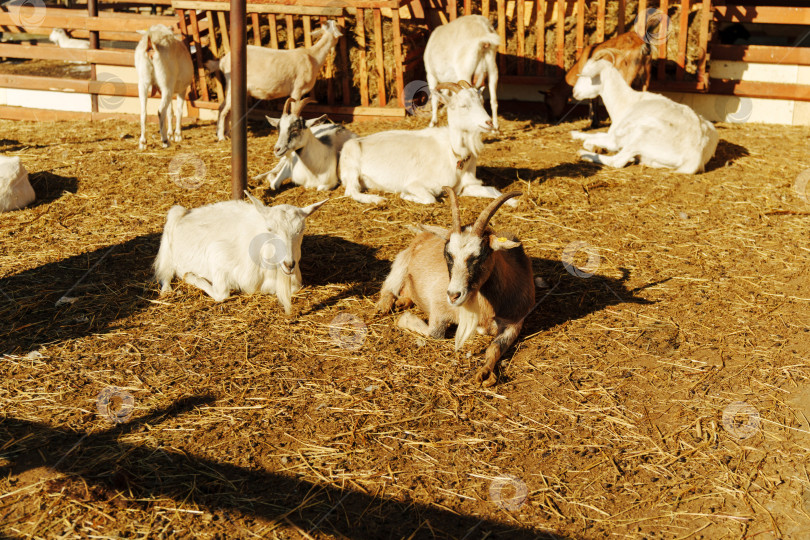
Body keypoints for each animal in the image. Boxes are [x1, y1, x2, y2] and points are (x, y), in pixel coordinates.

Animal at [153, 192, 327, 314]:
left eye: (301, 230)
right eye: (270, 229)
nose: (289, 264)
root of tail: (186, 212)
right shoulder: (217, 253)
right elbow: (222, 295)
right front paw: (190, 276)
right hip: (168, 243)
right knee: (165, 273)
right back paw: (169, 289)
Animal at [209, 20, 342, 142]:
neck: (313, 56)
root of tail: (223, 61)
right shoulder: (297, 89)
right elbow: (294, 110)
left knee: (225, 108)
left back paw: (227, 134)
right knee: (223, 109)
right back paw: (221, 137)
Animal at [339, 81, 513, 206]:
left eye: (482, 102)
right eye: (463, 105)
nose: (489, 122)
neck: (453, 154)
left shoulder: (465, 186)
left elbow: (493, 190)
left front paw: (512, 201)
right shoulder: (417, 184)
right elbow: (430, 199)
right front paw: (406, 195)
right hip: (352, 163)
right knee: (351, 191)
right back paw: (377, 199)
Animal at [376, 188, 535, 386]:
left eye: (479, 256)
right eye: (448, 254)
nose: (453, 295)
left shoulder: (515, 323)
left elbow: (494, 348)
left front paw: (485, 374)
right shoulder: (438, 308)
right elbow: (434, 333)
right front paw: (404, 319)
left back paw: (402, 302)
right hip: (401, 262)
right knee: (389, 286)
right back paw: (385, 305)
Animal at [570, 56, 718, 174]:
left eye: (585, 75)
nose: (574, 92)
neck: (625, 102)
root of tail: (696, 155)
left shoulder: (615, 139)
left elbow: (596, 140)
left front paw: (593, 147)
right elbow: (595, 134)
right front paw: (575, 133)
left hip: (643, 133)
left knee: (617, 161)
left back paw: (584, 154)